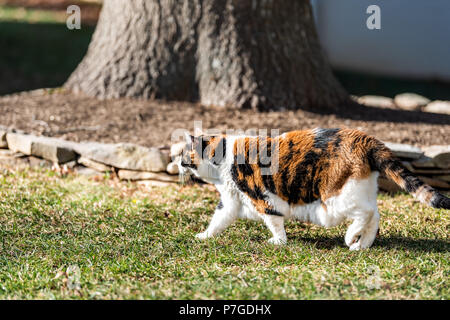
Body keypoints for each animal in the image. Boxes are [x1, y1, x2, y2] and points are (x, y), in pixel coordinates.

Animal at [178, 127, 448, 250]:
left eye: (183, 153)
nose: (176, 162)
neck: (221, 158)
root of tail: (363, 138)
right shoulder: (230, 201)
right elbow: (218, 220)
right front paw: (204, 236)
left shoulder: (264, 198)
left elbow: (274, 221)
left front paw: (278, 241)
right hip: (359, 190)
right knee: (375, 214)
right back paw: (362, 245)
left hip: (333, 202)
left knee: (366, 213)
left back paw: (350, 237)